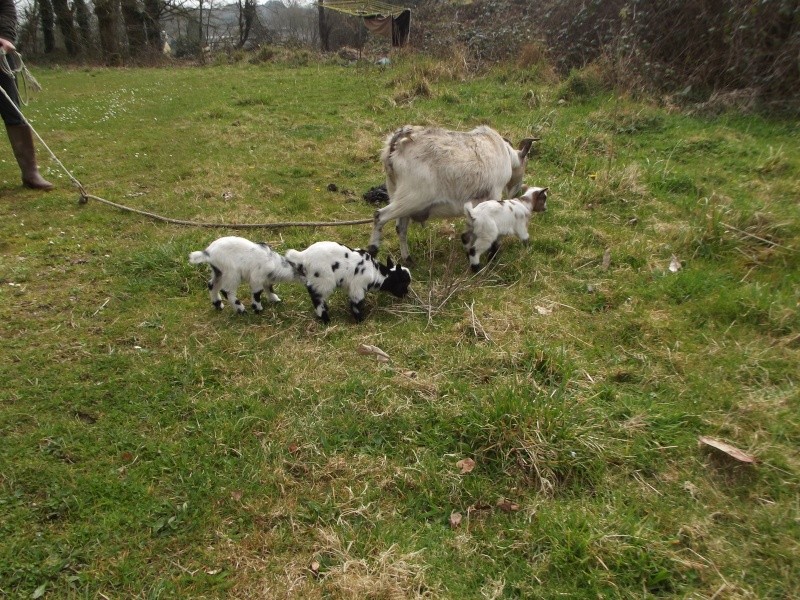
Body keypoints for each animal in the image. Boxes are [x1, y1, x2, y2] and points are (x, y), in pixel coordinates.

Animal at [368, 123, 536, 260]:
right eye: (525, 163)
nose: (517, 192)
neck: (504, 152)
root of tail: (397, 141)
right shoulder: (494, 193)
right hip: (412, 198)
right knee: (379, 216)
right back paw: (372, 249)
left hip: (396, 193)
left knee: (400, 228)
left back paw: (408, 259)